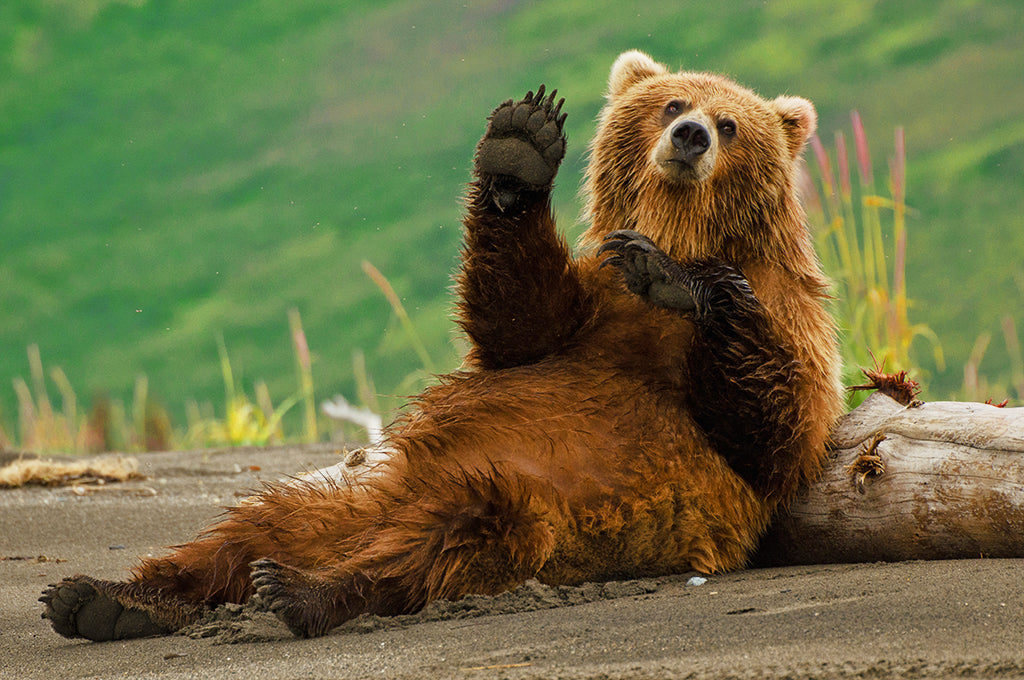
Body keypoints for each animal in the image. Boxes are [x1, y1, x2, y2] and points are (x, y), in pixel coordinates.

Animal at [37, 50, 839, 639]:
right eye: (672, 104)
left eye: (730, 123)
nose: (691, 136)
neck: (684, 228)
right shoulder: (587, 313)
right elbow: (518, 319)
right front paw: (521, 147)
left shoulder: (787, 320)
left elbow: (774, 426)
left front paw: (678, 280)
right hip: (349, 496)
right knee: (243, 527)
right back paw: (106, 597)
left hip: (533, 507)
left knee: (443, 540)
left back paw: (300, 590)